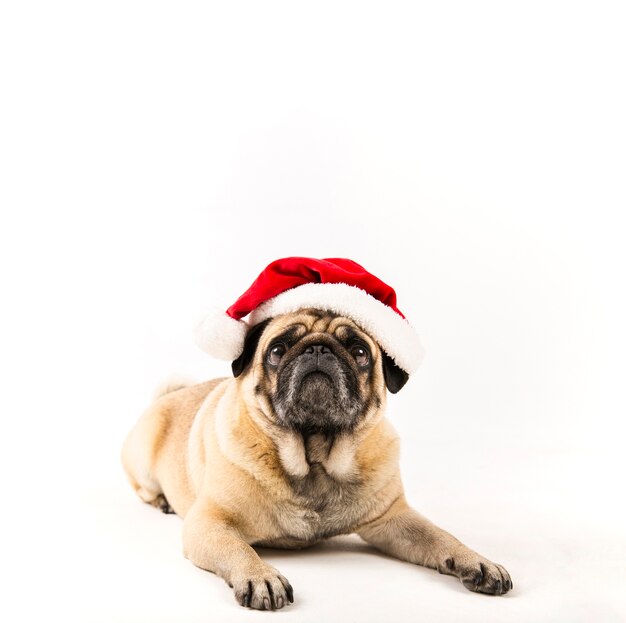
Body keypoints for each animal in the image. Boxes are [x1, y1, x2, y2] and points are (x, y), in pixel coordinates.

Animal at [119, 310, 510, 612]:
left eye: (359, 352)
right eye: (277, 350)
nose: (318, 348)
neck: (314, 457)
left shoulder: (393, 518)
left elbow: (440, 536)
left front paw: (477, 561)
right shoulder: (209, 522)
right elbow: (237, 547)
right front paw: (260, 575)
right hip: (143, 458)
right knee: (142, 487)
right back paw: (161, 501)